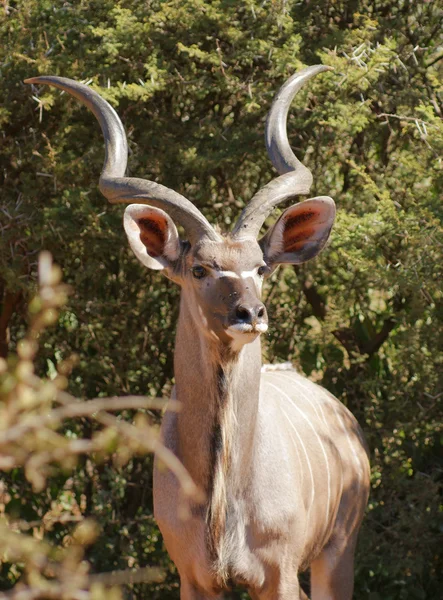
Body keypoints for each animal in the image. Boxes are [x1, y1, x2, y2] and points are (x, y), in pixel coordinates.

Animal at [26, 67, 372, 600]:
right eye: (199, 269)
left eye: (261, 268)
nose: (251, 313)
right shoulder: (194, 575)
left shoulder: (280, 572)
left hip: (338, 550)